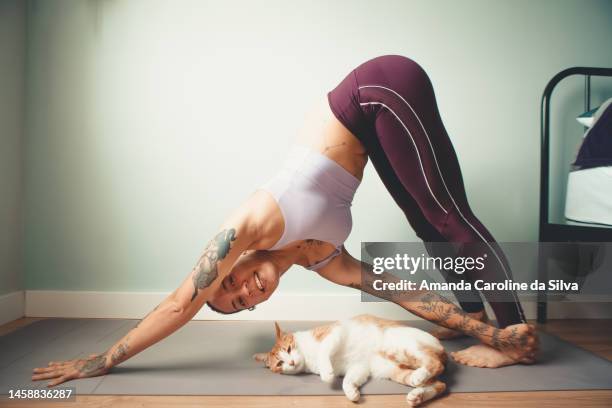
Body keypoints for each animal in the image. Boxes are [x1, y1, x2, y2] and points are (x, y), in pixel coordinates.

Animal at [251, 312, 448, 404]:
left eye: (289, 348)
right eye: (280, 363)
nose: (291, 362)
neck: (308, 357)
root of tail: (442, 349)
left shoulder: (334, 333)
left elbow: (324, 351)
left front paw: (327, 374)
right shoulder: (358, 367)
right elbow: (348, 380)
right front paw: (352, 393)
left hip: (400, 347)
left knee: (436, 364)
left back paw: (420, 376)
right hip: (393, 370)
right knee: (440, 384)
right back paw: (417, 396)